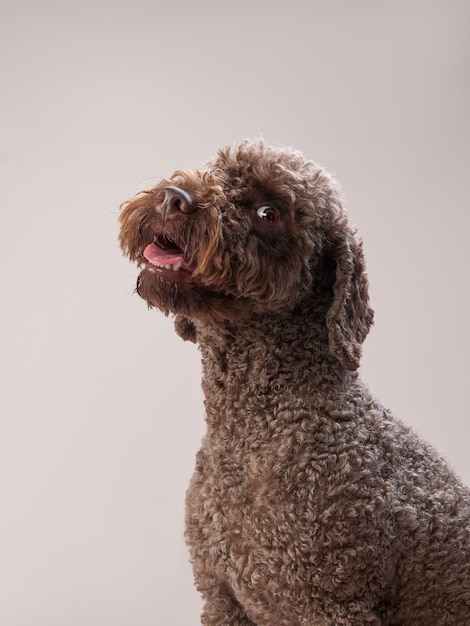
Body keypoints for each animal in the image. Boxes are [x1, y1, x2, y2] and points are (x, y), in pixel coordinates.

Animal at [120, 139, 470, 620]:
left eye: (269, 213)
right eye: (213, 167)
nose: (173, 198)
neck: (254, 428)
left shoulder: (332, 605)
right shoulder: (220, 596)